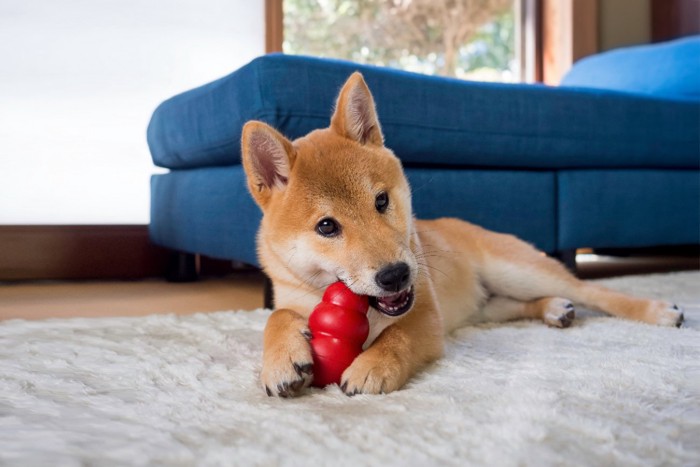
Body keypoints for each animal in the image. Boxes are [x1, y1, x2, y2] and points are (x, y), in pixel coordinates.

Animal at [241, 71, 684, 396]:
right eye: (326, 226)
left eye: (381, 201)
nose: (396, 275)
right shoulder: (290, 296)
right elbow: (276, 315)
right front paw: (281, 359)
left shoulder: (426, 316)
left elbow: (397, 337)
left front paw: (372, 365)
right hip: (489, 304)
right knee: (523, 304)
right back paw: (554, 309)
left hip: (517, 271)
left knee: (594, 291)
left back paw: (656, 311)